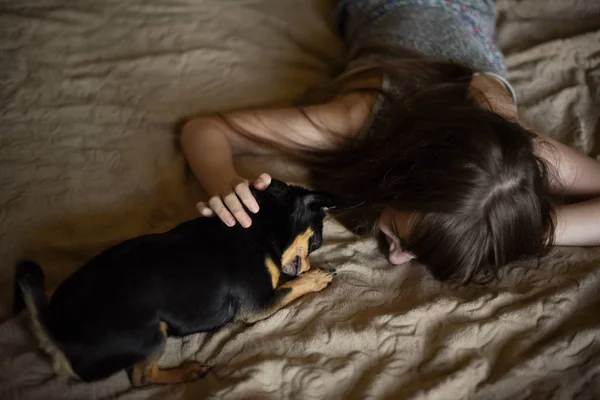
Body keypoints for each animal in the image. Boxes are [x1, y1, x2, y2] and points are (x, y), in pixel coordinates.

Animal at [14, 180, 340, 386]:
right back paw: (186, 372)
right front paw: (316, 276)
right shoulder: (257, 306)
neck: (262, 226)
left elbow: (284, 280)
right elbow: (289, 286)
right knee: (141, 378)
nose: (309, 263)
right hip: (150, 333)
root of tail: (58, 334)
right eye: (316, 243)